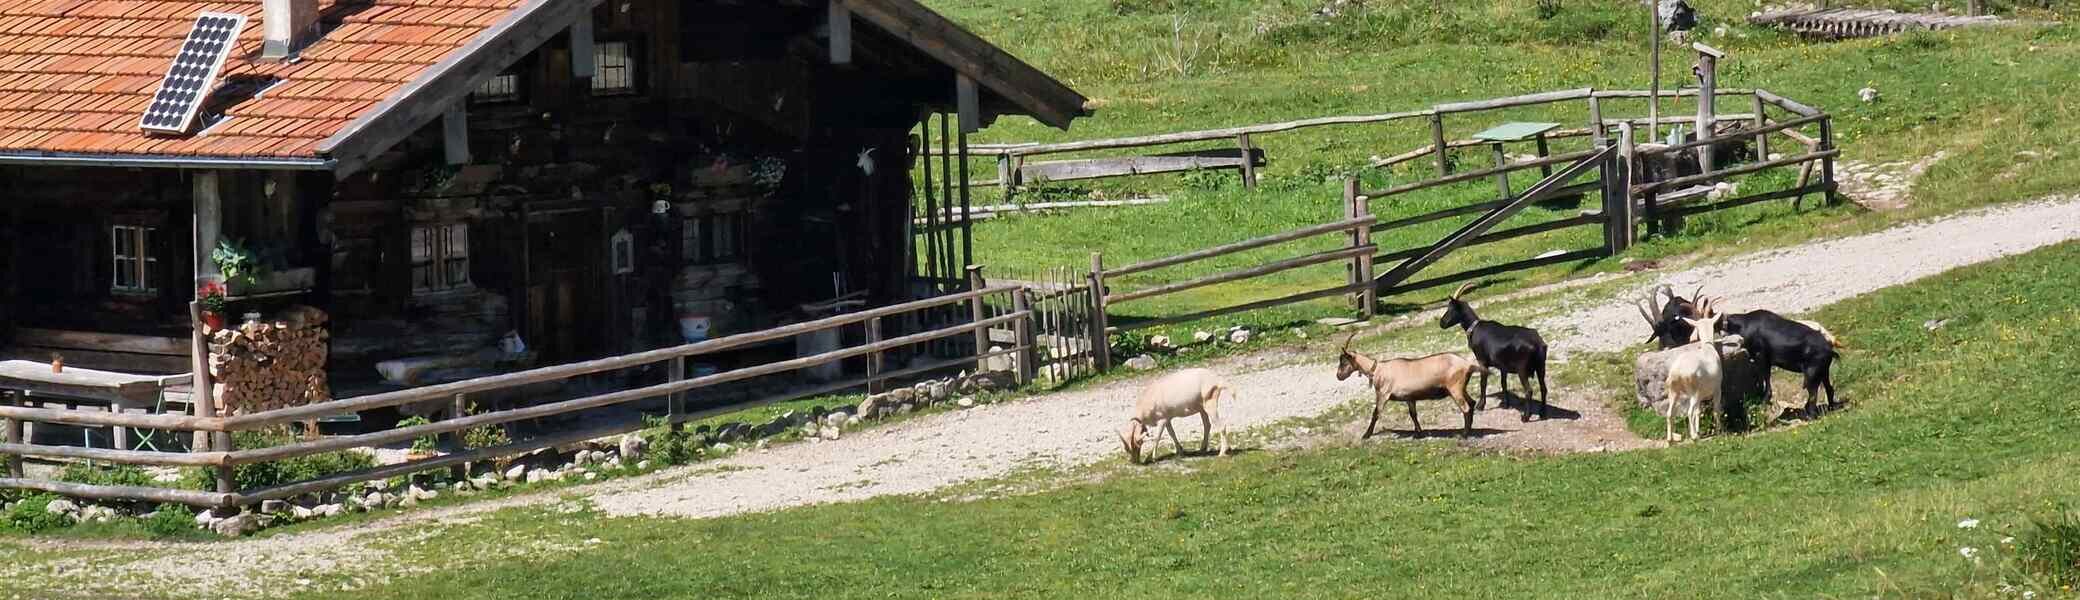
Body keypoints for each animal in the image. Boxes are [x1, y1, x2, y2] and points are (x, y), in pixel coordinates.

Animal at [1331, 333, 1480, 441]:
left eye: (1344, 362)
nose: (1338, 376)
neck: (1377, 369)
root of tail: (1467, 365)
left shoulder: (1383, 394)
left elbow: (1375, 413)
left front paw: (1366, 435)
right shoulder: (1409, 397)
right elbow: (1413, 414)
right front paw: (1418, 433)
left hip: (1455, 388)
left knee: (1466, 408)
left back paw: (1464, 435)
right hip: (1461, 388)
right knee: (1472, 403)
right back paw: (1470, 430)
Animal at [1439, 283, 1555, 418]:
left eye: (1450, 309)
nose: (1441, 323)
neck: (1474, 328)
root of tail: (1538, 344)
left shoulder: (1482, 361)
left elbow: (1483, 383)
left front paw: (1480, 405)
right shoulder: (1503, 366)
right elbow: (1503, 383)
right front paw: (1506, 404)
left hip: (1522, 369)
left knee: (1529, 390)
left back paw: (1525, 417)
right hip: (1541, 365)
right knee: (1543, 388)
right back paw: (1542, 413)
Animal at [1713, 306, 1847, 418]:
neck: (1745, 324)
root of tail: (1829, 348)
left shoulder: (1761, 357)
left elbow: (1766, 381)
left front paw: (1764, 402)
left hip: (1812, 373)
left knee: (1813, 393)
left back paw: (1811, 415)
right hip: (1823, 371)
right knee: (1829, 388)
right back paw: (1828, 408)